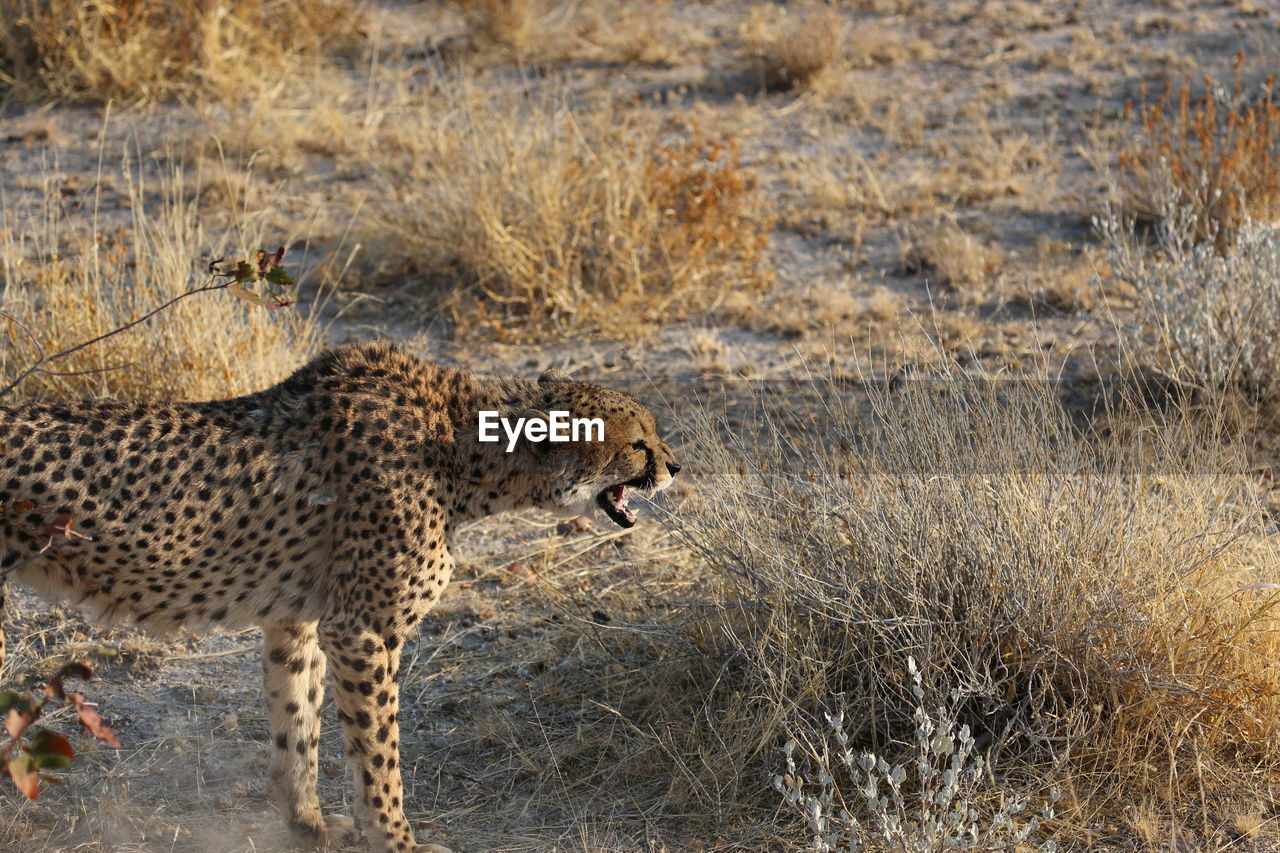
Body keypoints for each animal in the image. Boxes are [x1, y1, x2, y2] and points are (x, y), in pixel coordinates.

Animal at [0, 343, 680, 850]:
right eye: (637, 442)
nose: (674, 466)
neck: (464, 452)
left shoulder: (298, 621)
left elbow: (297, 726)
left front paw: (310, 827)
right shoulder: (363, 629)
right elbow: (378, 752)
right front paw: (397, 841)